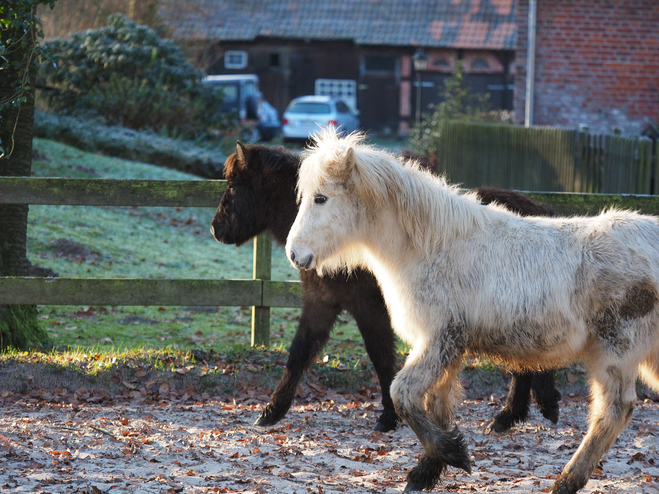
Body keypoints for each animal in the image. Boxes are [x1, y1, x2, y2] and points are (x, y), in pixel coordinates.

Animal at [211, 142, 564, 432]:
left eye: (233, 185)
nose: (216, 229)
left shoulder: (370, 309)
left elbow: (381, 358)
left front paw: (389, 416)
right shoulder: (321, 303)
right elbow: (299, 353)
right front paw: (272, 411)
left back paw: (521, 411)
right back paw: (515, 414)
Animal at [288, 128, 659, 494]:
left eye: (321, 198)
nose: (294, 254)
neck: (433, 246)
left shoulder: (439, 339)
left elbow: (402, 395)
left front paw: (453, 455)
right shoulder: (447, 348)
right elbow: (436, 406)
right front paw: (429, 470)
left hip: (615, 351)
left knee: (612, 411)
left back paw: (565, 482)